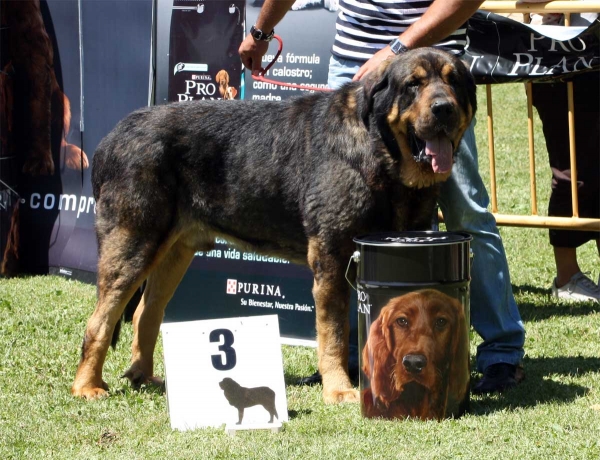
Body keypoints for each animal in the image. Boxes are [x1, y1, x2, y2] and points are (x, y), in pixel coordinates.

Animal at [74, 48, 478, 404]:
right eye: (413, 84)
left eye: (454, 81)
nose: (443, 108)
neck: (379, 150)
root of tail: (111, 138)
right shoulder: (332, 258)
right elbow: (332, 333)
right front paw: (340, 390)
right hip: (133, 243)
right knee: (100, 321)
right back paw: (87, 386)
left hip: (174, 250)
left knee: (145, 312)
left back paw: (145, 376)